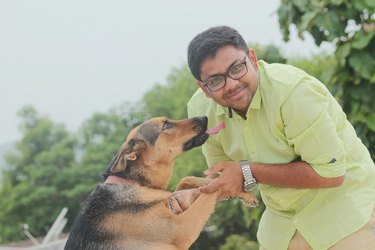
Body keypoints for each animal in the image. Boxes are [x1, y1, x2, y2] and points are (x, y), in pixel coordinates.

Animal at [65, 116, 258, 249]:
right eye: (166, 125)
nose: (204, 117)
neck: (132, 182)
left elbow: (188, 180)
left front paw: (244, 193)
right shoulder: (182, 227)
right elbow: (211, 189)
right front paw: (232, 184)